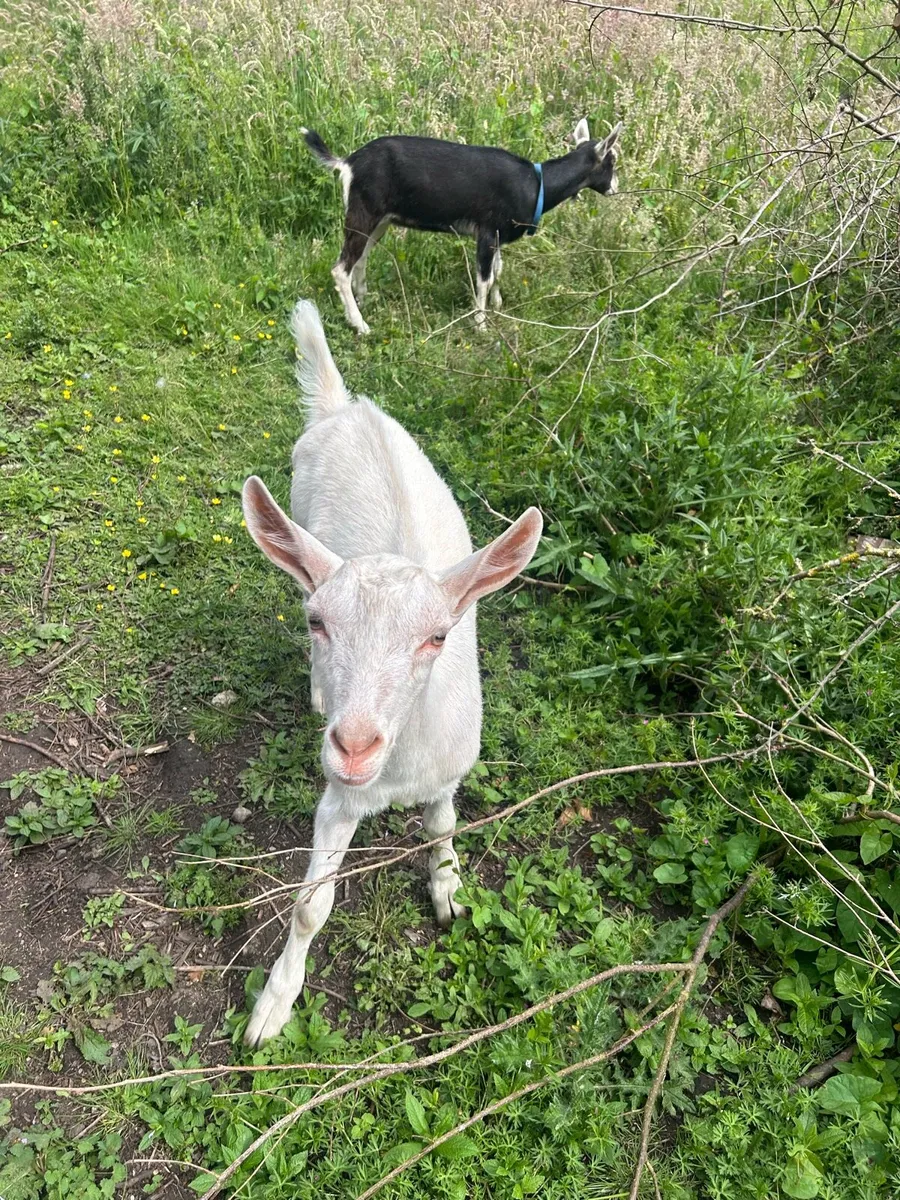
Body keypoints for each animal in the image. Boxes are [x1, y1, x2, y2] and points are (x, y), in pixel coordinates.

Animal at [241, 299, 543, 1045]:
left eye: (437, 637)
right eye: (319, 622)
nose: (353, 746)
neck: (401, 767)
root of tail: (346, 406)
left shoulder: (449, 770)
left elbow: (442, 828)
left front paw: (447, 889)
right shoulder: (338, 798)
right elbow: (309, 906)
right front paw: (272, 1009)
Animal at [302, 118, 623, 335]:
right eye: (612, 160)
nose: (615, 188)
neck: (536, 184)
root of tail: (347, 163)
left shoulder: (497, 235)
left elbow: (497, 271)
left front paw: (498, 304)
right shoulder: (486, 232)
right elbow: (484, 278)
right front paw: (481, 324)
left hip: (379, 219)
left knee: (361, 257)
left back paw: (364, 299)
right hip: (363, 211)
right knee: (340, 268)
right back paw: (360, 324)